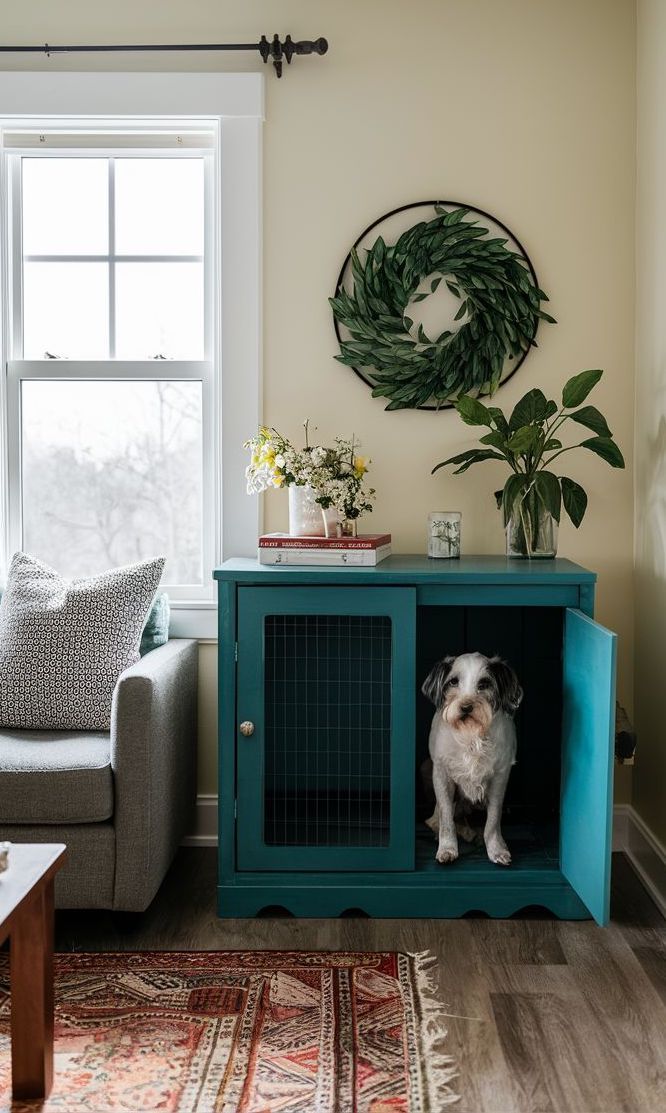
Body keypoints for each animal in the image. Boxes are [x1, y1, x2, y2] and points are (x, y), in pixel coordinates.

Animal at [425, 649, 525, 868]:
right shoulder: (442, 774)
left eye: (484, 684)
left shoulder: (500, 777)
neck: (471, 733)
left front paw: (497, 850)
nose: (466, 707)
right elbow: (446, 818)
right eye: (453, 681)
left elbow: (493, 821)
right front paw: (447, 849)